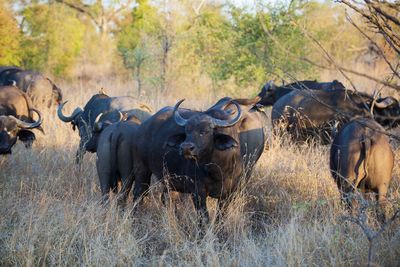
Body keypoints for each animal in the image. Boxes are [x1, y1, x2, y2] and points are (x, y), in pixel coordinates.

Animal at [130, 96, 268, 224]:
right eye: (187, 131)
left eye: (205, 131)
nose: (185, 148)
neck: (217, 169)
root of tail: (143, 127)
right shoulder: (198, 192)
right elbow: (204, 218)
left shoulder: (228, 193)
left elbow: (221, 217)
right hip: (142, 168)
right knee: (138, 194)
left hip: (169, 180)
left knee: (167, 199)